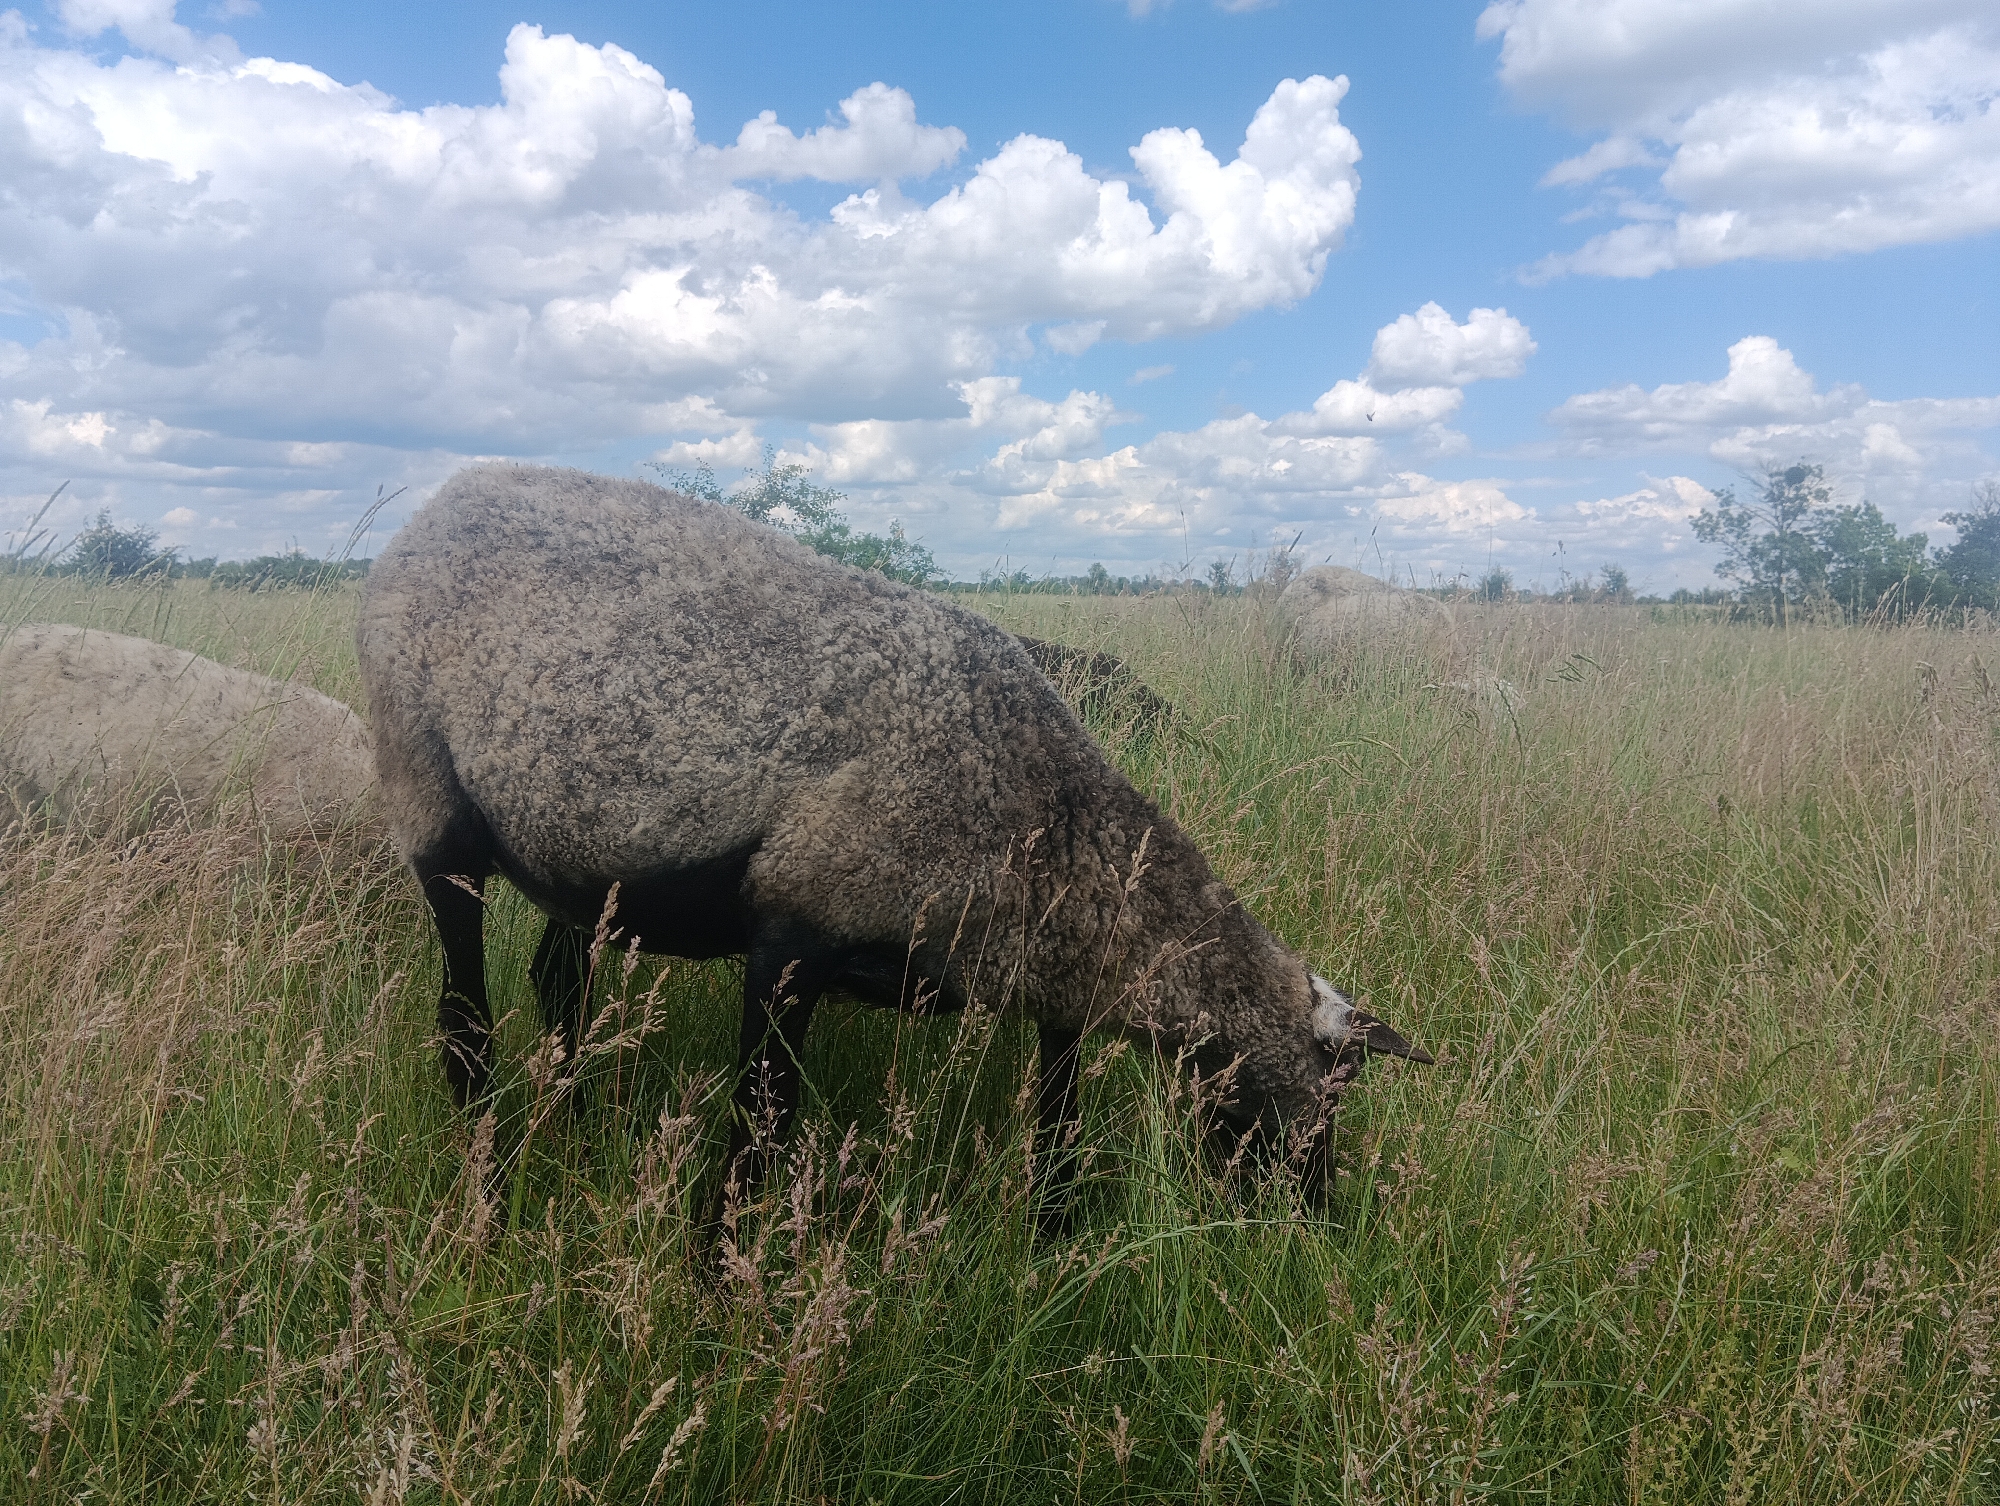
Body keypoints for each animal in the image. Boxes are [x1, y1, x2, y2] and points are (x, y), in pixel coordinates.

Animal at [356, 465, 1430, 1227]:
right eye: (1317, 1105)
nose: (1319, 1224)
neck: (1045, 825)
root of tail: (438, 503)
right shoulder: (793, 937)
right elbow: (761, 1135)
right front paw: (721, 1285)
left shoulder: (1050, 985)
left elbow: (1059, 1122)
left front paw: (1051, 1238)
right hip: (429, 796)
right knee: (463, 1018)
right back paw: (490, 1181)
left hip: (585, 863)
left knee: (560, 980)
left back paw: (577, 1122)